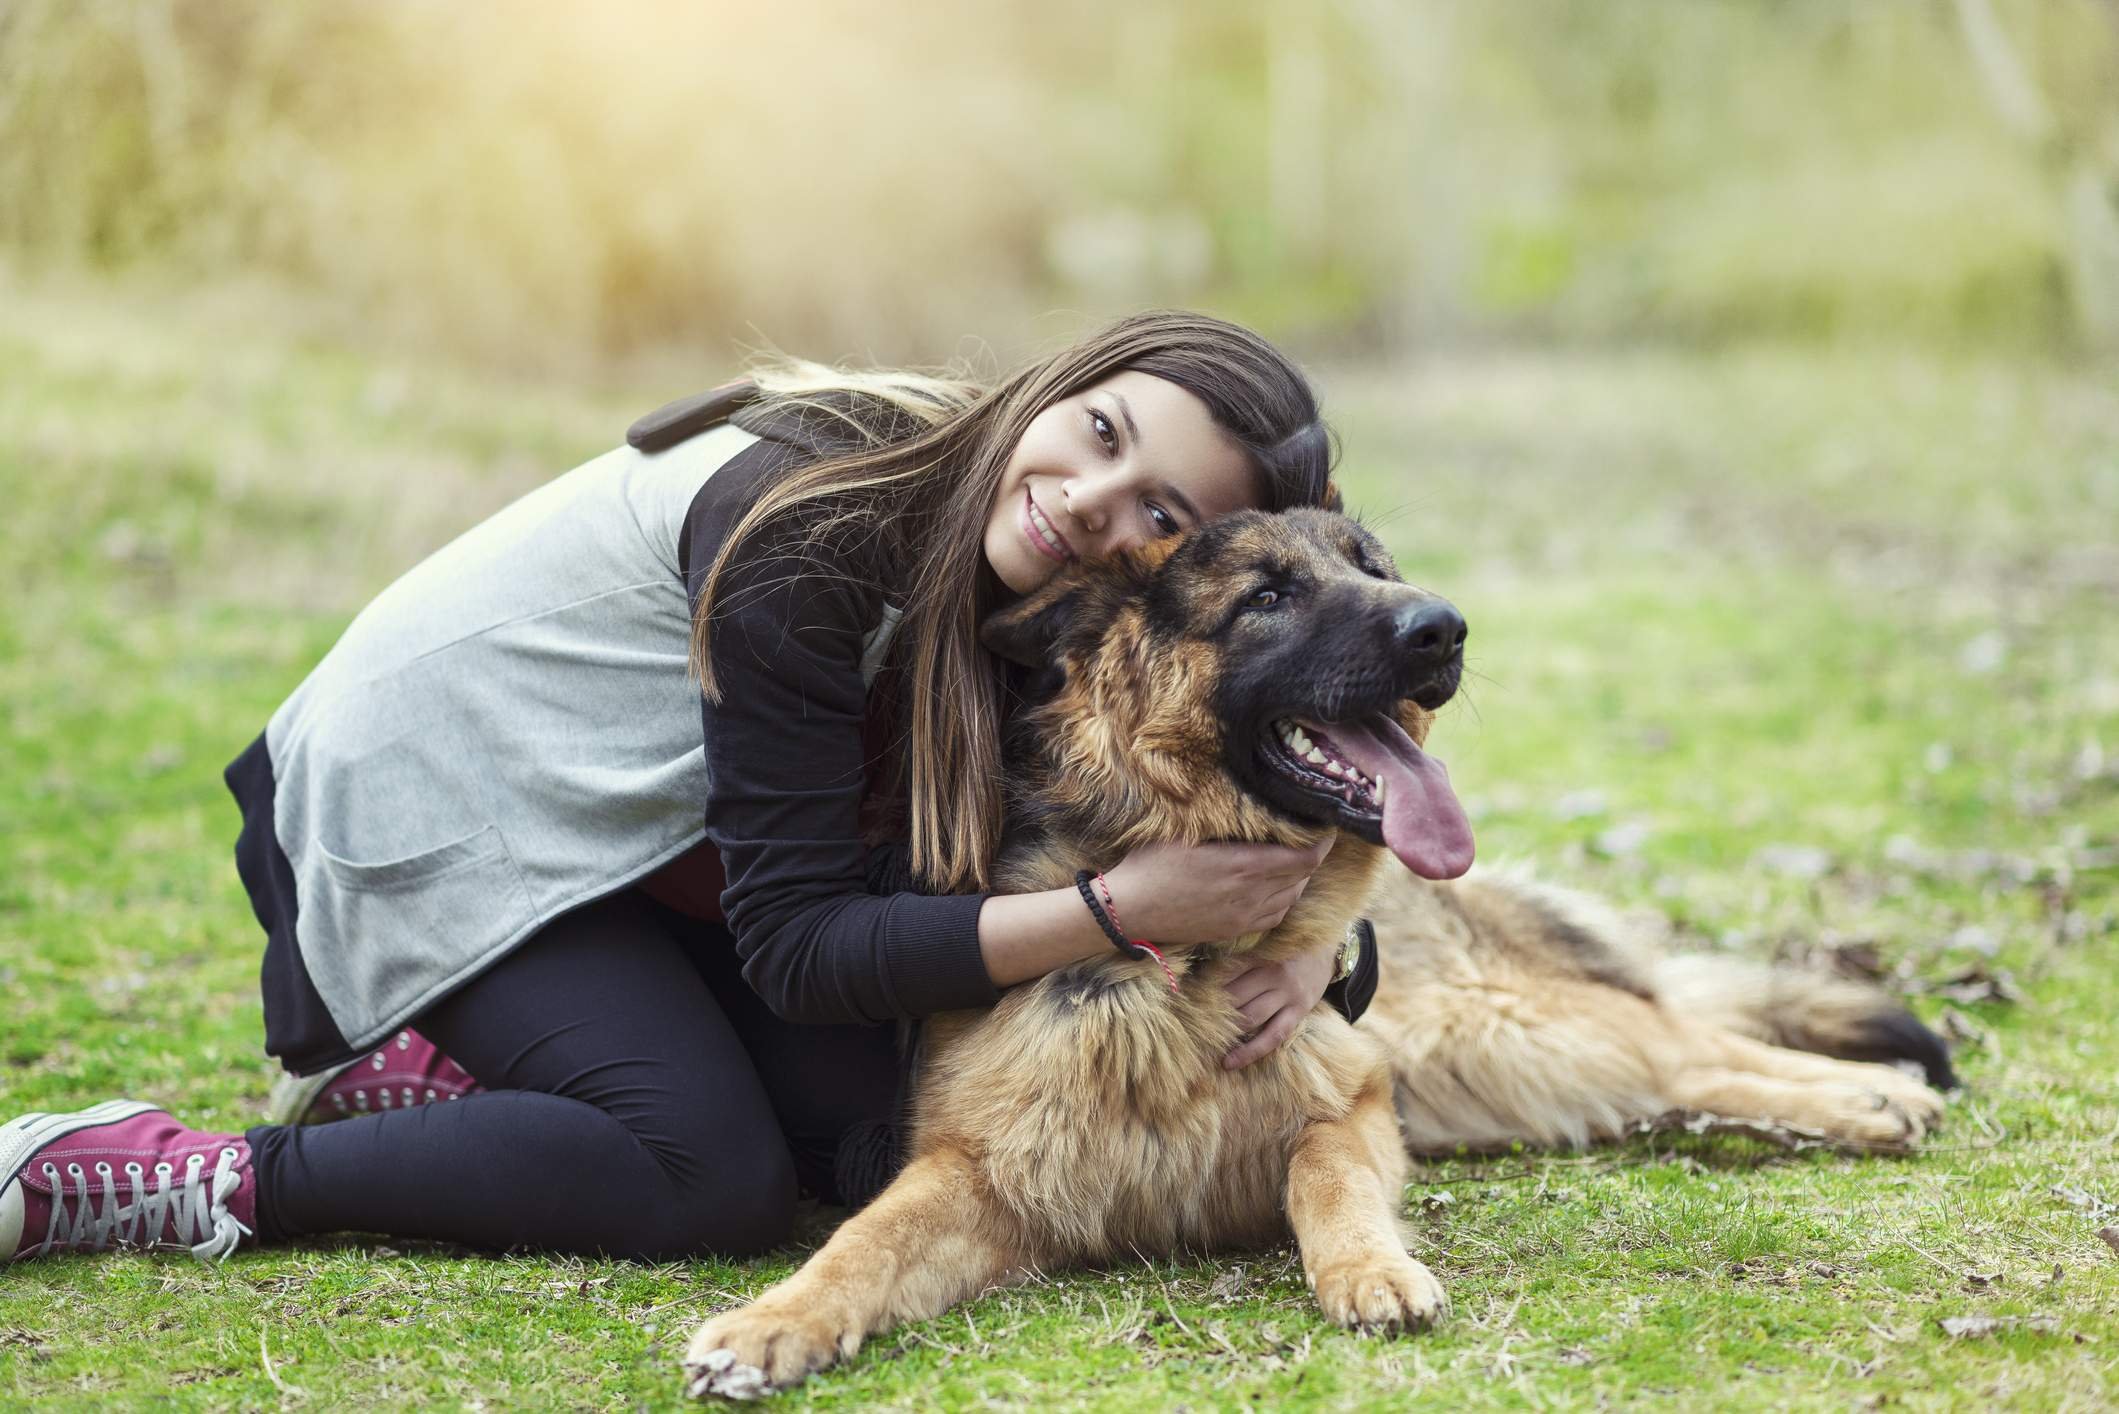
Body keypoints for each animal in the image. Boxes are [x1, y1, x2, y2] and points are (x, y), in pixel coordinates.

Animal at [682, 510, 1949, 1407]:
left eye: (1374, 566)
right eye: (1267, 596)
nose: (1444, 626)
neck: (1188, 963)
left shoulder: (1356, 1102)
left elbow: (1323, 1173)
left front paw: (1368, 1269)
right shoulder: (986, 1173)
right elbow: (862, 1240)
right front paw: (770, 1322)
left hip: (1496, 1028)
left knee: (1688, 1041)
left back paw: (1870, 1095)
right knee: (1675, 1074)